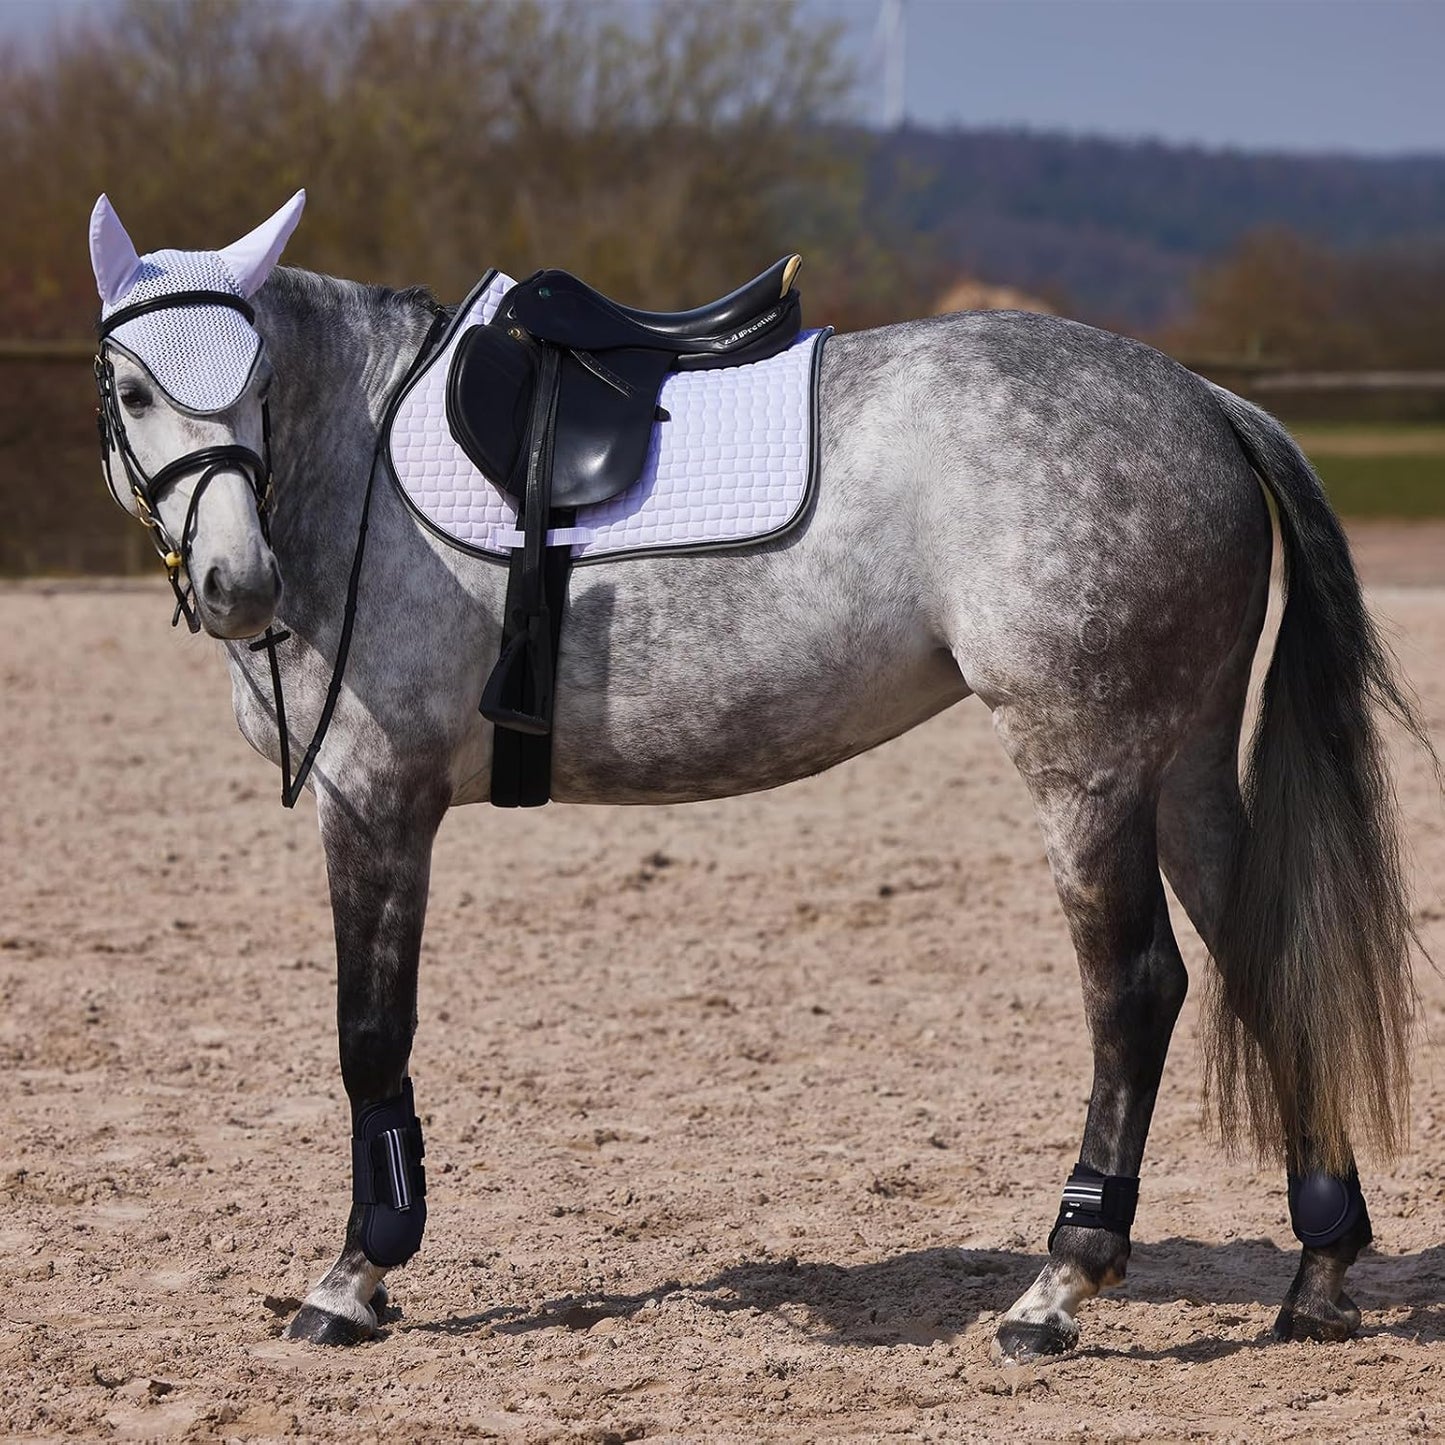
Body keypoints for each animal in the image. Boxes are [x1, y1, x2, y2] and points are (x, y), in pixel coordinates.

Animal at [87, 192, 1426, 1360]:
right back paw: (1317, 1268)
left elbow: (370, 1036)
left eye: (255, 382)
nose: (238, 583)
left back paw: (1057, 1284)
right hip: (1182, 764)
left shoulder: (376, 798)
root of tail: (1198, 398)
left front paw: (354, 1276)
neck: (357, 460)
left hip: (1087, 772)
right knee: (1264, 956)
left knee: (1137, 991)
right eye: (136, 390)